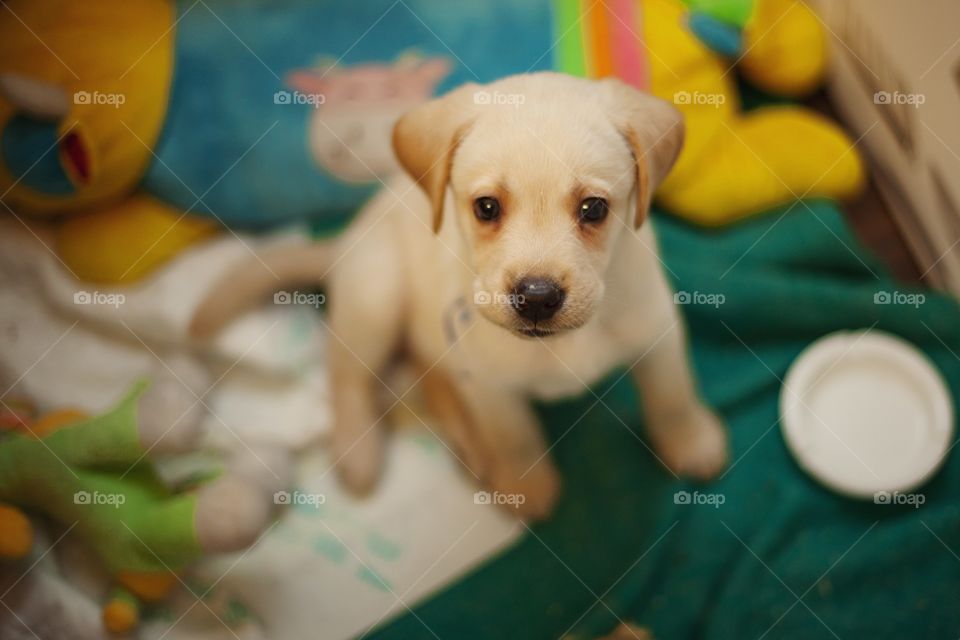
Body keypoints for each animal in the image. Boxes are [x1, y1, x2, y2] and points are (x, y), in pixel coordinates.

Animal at [324, 72, 728, 516]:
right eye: (486, 207)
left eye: (594, 209)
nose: (536, 297)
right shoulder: (490, 382)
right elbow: (513, 436)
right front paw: (526, 487)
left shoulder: (657, 333)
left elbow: (673, 397)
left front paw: (691, 443)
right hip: (375, 298)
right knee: (347, 376)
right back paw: (360, 453)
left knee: (432, 379)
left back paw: (471, 448)